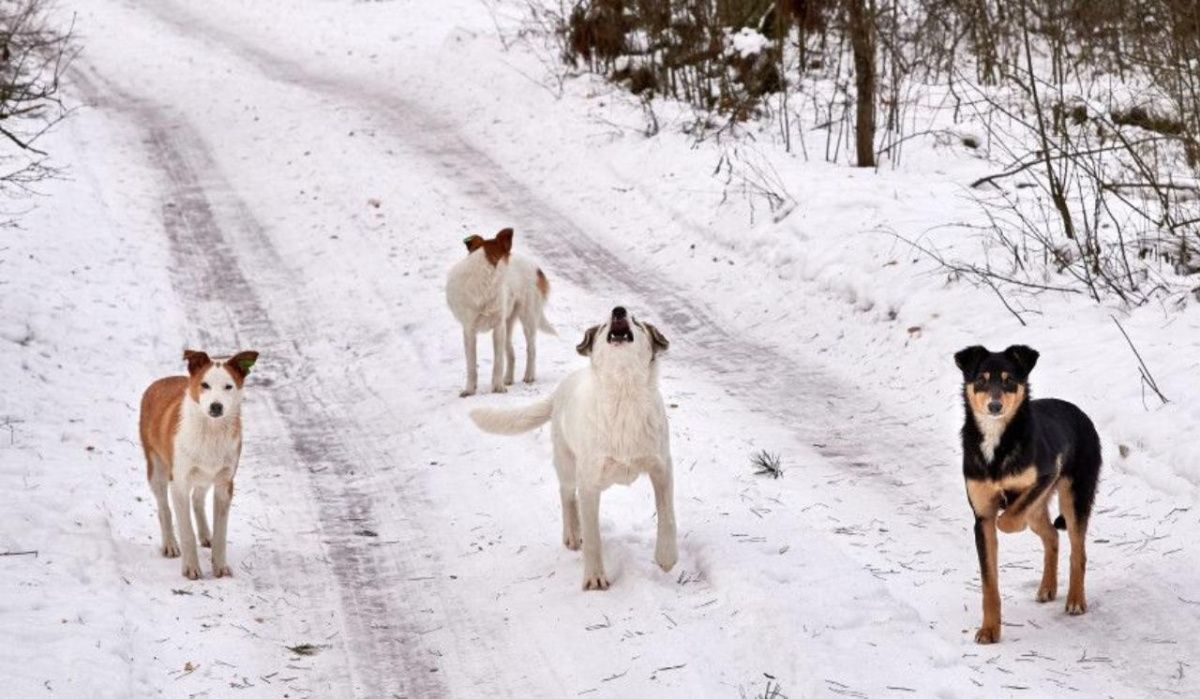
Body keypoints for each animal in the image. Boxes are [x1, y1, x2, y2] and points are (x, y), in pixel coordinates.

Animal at [142, 350, 260, 581]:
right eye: (205, 385)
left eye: (228, 386)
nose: (216, 406)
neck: (211, 432)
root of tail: (160, 381)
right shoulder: (179, 483)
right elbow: (186, 531)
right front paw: (191, 568)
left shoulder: (225, 483)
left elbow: (221, 533)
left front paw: (220, 566)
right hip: (157, 469)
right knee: (164, 508)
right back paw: (170, 544)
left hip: (205, 475)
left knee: (197, 499)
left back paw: (206, 535)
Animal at [448, 226, 554, 396]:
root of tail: (535, 266)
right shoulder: (469, 331)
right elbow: (471, 365)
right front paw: (470, 390)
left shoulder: (498, 328)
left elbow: (498, 362)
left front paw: (497, 387)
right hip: (507, 324)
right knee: (511, 353)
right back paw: (508, 379)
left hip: (528, 318)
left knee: (531, 349)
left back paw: (529, 375)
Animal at [468, 307, 676, 590]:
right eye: (603, 326)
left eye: (636, 322)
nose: (619, 310)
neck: (624, 393)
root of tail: (558, 392)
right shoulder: (590, 482)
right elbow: (593, 536)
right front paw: (595, 577)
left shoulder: (661, 468)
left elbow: (667, 516)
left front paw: (666, 558)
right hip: (568, 465)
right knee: (567, 494)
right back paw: (572, 534)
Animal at [955, 345, 1099, 648]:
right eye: (981, 379)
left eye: (1009, 380)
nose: (994, 406)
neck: (996, 442)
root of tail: (1078, 412)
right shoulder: (982, 518)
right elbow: (989, 583)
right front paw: (990, 630)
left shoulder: (1044, 476)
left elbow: (1008, 520)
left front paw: (1008, 519)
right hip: (1043, 510)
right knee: (1052, 535)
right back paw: (1047, 587)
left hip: (1074, 498)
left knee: (1078, 552)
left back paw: (1075, 600)